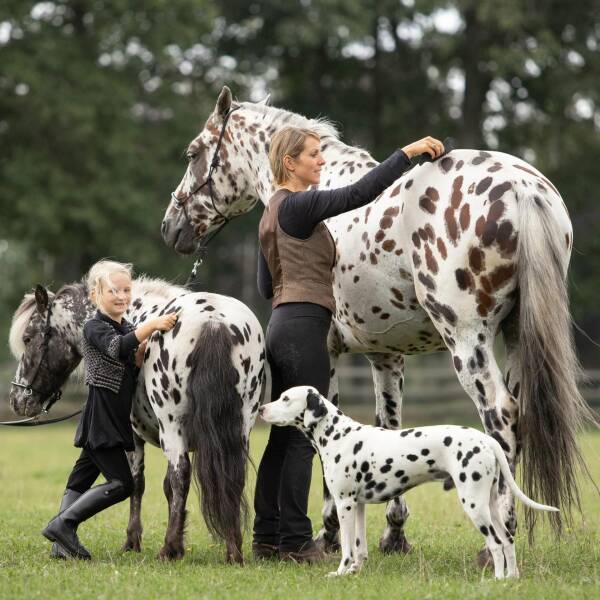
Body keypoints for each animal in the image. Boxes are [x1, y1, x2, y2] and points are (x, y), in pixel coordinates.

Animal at [7, 276, 264, 564]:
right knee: (233, 479)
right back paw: (233, 550)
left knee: (181, 475)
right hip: (240, 428)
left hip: (173, 428)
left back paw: (168, 548)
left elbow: (138, 484)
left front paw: (133, 542)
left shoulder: (132, 437)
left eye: (28, 338)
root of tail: (213, 320)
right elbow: (165, 488)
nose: (18, 399)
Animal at [162, 86, 592, 560]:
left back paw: (495, 542)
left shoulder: (330, 353)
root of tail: (522, 187)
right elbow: (391, 429)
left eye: (193, 153)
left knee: (501, 416)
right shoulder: (386, 356)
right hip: (515, 336)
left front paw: (331, 533)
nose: (171, 228)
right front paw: (394, 534)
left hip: (467, 339)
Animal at [260, 386, 560, 580]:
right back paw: (512, 578)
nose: (262, 408)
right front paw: (355, 571)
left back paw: (497, 580)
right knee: (507, 540)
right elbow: (359, 547)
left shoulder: (344, 505)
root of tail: (487, 440)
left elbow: (346, 547)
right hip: (491, 505)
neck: (337, 434)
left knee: (496, 543)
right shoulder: (358, 506)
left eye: (285, 398)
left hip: (475, 505)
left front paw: (341, 572)